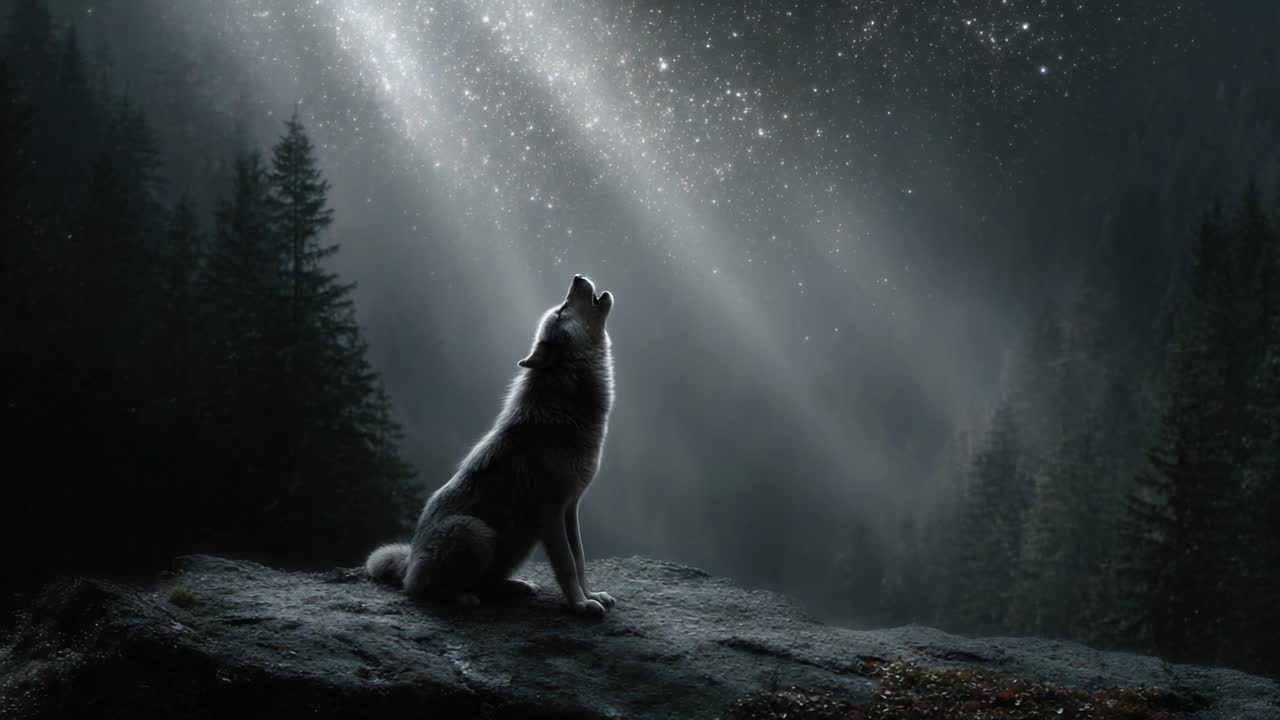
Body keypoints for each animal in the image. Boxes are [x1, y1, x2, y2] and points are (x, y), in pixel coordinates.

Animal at [366, 274, 617, 617]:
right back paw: (461, 598)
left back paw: (515, 586)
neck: (564, 410)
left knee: (486, 582)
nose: (577, 277)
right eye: (563, 309)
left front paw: (592, 595)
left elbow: (579, 560)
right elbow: (566, 564)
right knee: (418, 589)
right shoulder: (550, 512)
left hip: (515, 545)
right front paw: (579, 605)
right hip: (475, 533)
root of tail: (410, 559)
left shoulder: (570, 509)